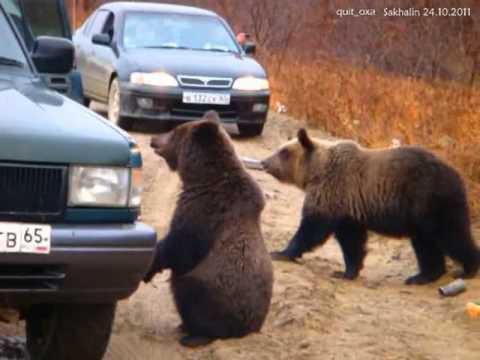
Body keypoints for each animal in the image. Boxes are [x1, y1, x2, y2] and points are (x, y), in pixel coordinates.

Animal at [262, 129, 480, 284]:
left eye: (283, 151)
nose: (264, 162)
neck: (315, 172)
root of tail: (457, 175)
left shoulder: (332, 192)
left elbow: (311, 229)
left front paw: (281, 252)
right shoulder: (349, 209)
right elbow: (352, 242)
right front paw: (348, 271)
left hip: (429, 199)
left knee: (451, 234)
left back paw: (468, 268)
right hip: (421, 215)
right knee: (426, 244)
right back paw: (424, 276)